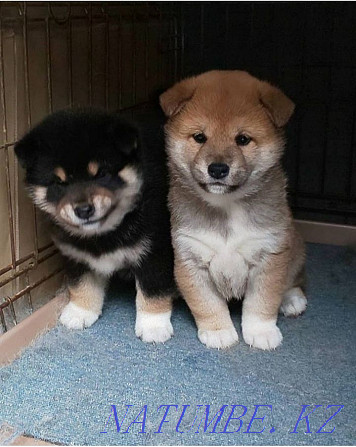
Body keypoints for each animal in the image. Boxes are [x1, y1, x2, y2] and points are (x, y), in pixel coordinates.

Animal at [15, 108, 177, 344]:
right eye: (59, 182)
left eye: (101, 174)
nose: (83, 210)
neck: (104, 233)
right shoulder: (75, 254)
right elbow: (82, 283)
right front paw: (80, 311)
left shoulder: (155, 250)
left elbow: (152, 289)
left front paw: (153, 325)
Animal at [160, 71, 308, 350]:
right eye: (200, 137)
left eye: (242, 139)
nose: (218, 169)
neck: (226, 208)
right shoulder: (191, 258)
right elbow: (207, 304)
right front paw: (218, 331)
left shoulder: (269, 256)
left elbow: (262, 302)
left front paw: (261, 332)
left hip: (295, 247)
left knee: (295, 278)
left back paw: (293, 299)